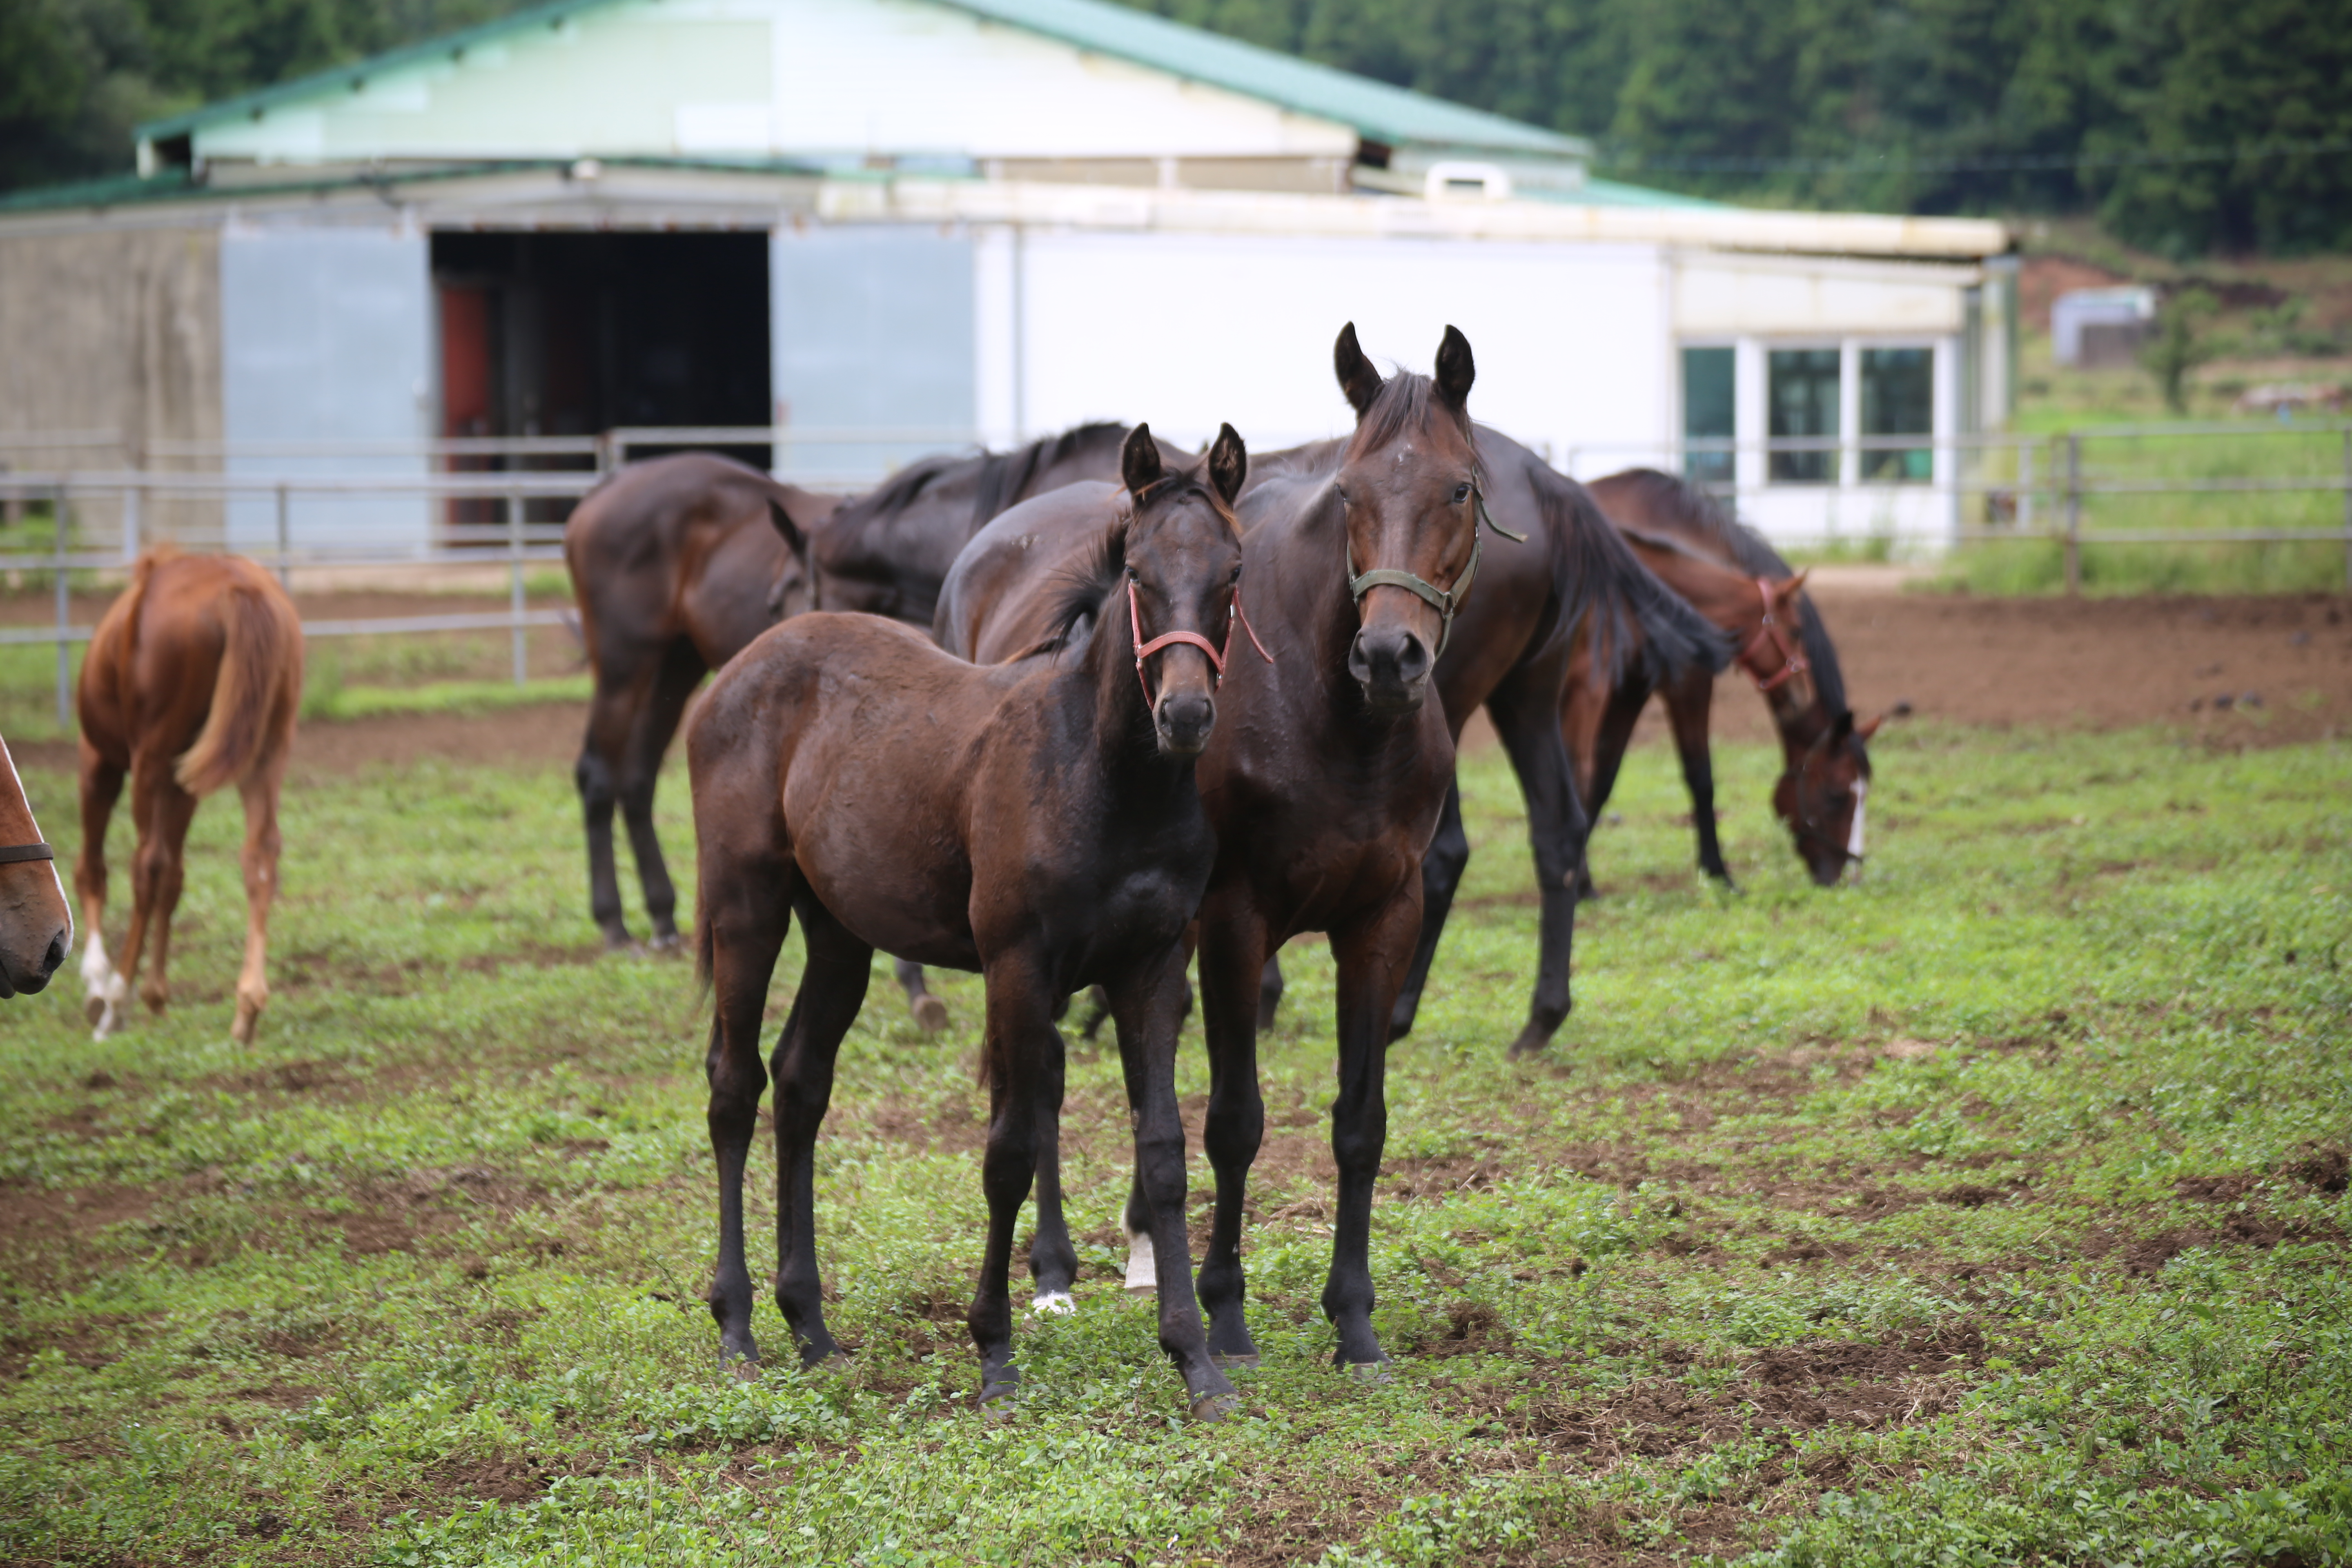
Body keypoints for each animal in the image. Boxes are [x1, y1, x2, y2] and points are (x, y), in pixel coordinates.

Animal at [76, 552, 303, 1044]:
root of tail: (239, 588)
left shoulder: (100, 763)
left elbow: (94, 871)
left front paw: (98, 983)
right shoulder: (183, 784)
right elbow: (176, 878)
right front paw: (156, 995)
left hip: (150, 763)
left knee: (146, 865)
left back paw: (116, 1003)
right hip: (264, 754)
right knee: (259, 856)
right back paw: (247, 1008)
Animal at [686, 423, 1261, 1420]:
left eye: (1230, 571)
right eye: (1138, 572)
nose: (1186, 714)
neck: (1105, 776)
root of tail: (744, 668)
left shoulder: (1152, 967)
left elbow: (1161, 1152)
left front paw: (1196, 1360)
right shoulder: (1017, 968)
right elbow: (1010, 1149)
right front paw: (995, 1352)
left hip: (839, 934)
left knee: (800, 1085)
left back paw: (812, 1327)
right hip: (745, 908)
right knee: (736, 1085)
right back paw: (739, 1328)